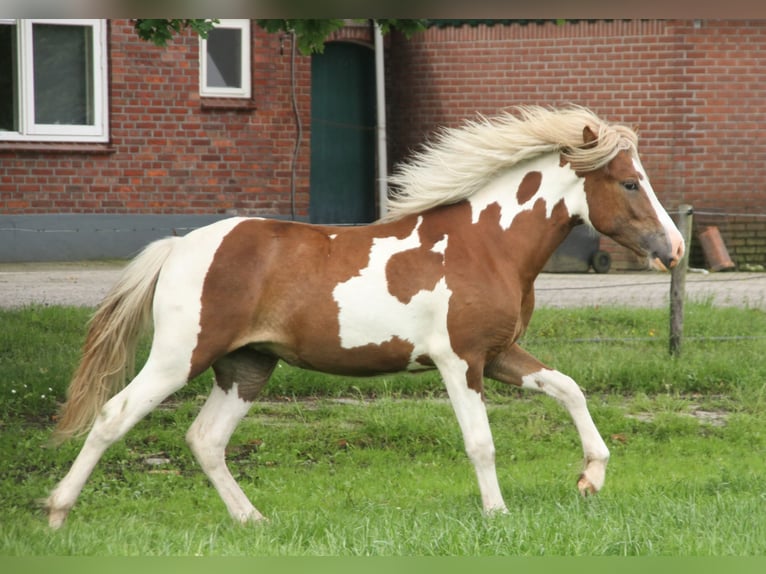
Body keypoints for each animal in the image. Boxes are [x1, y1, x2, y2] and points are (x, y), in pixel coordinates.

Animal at [45, 105, 684, 528]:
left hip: (246, 366)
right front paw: (497, 512)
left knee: (205, 440)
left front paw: (590, 478)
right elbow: (480, 441)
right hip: (181, 356)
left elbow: (569, 388)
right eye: (631, 182)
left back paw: (253, 520)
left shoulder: (499, 353)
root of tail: (178, 247)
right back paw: (56, 512)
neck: (487, 244)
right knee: (113, 416)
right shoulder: (460, 361)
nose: (675, 249)